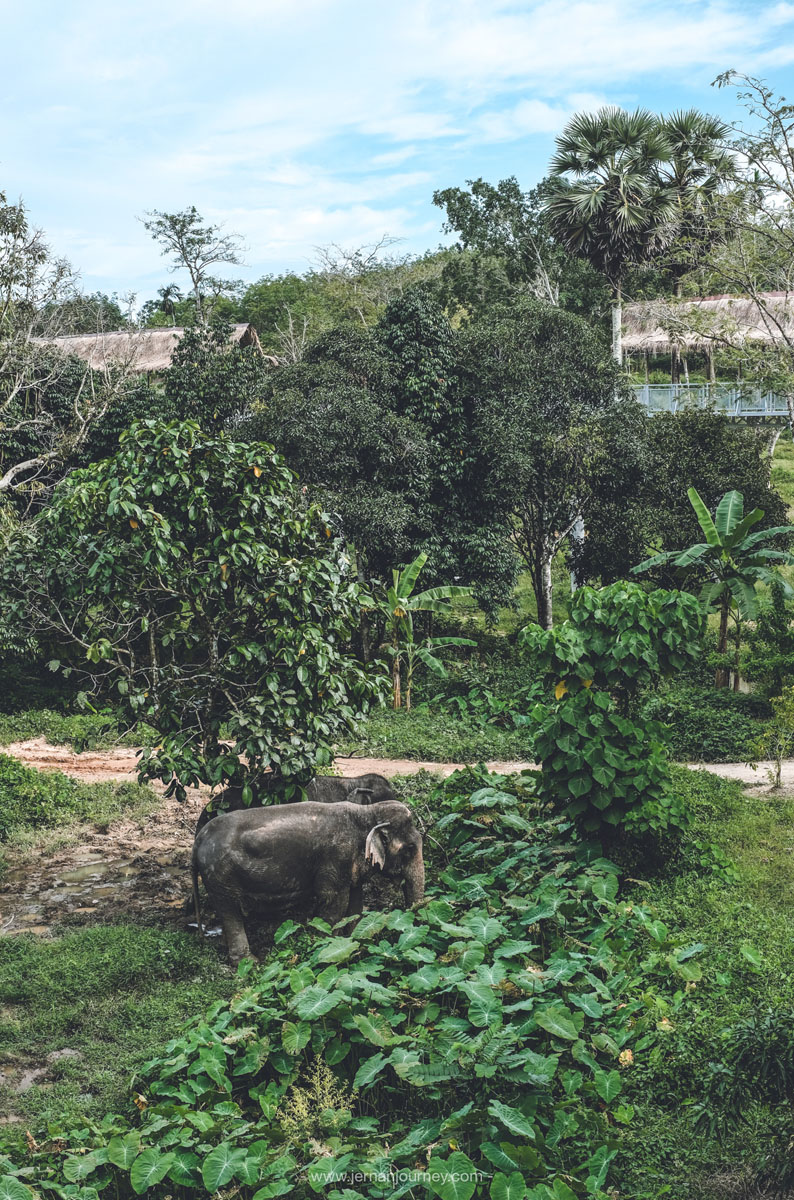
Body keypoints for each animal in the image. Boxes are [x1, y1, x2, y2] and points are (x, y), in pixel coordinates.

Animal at [190, 796, 426, 964]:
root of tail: (198, 838)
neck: (367, 812)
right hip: (220, 874)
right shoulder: (336, 859)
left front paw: (357, 940)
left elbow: (355, 904)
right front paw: (326, 946)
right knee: (230, 911)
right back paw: (249, 962)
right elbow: (335, 904)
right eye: (409, 849)